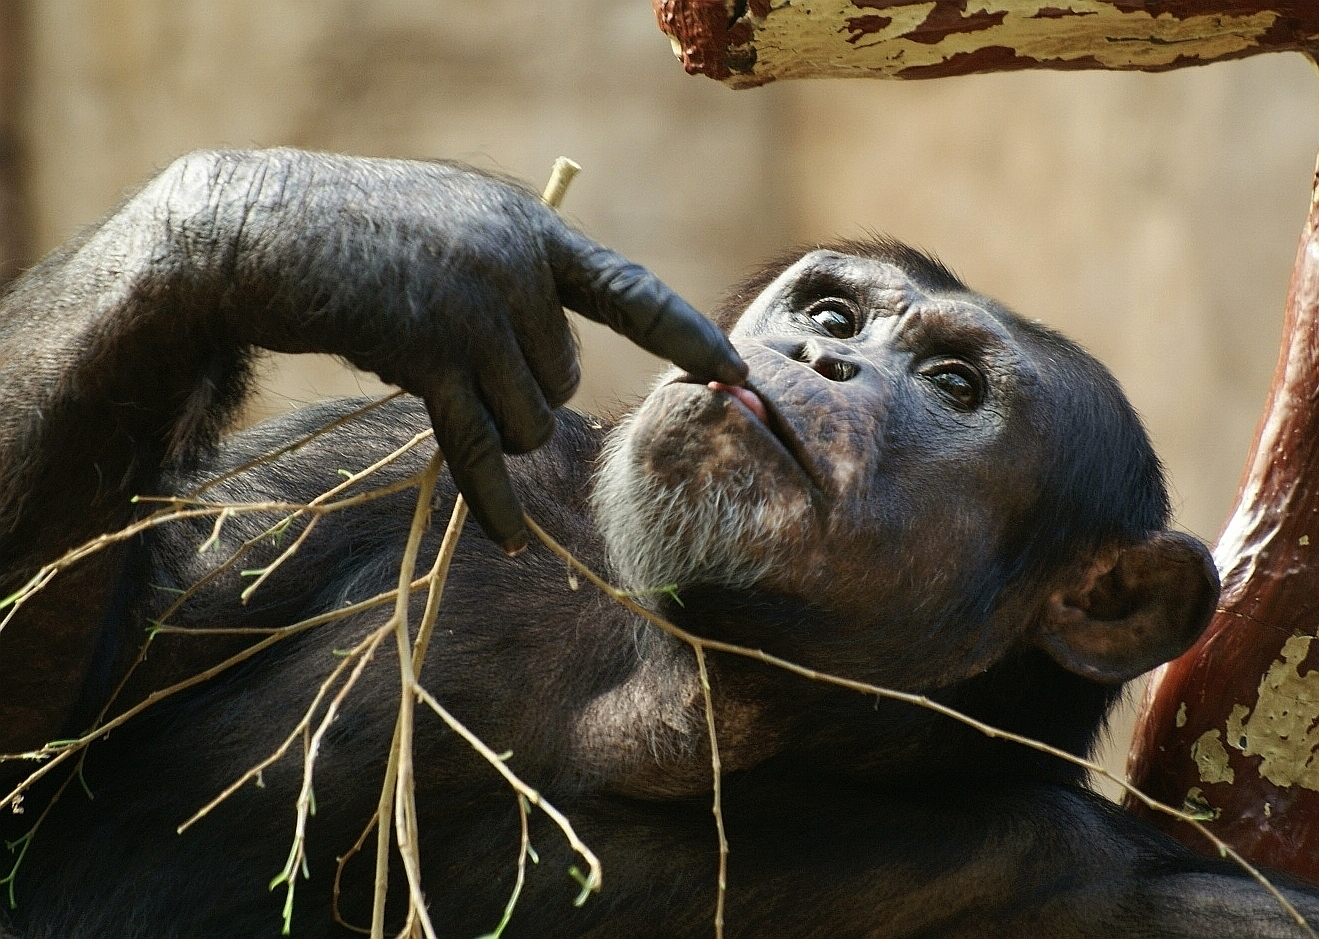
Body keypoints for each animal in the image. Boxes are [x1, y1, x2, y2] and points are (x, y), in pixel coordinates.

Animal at [0, 150, 1308, 933]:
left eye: (951, 385)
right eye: (833, 313)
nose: (817, 358)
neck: (664, 714)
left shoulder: (1147, 897)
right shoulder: (335, 481)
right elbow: (38, 747)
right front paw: (367, 233)